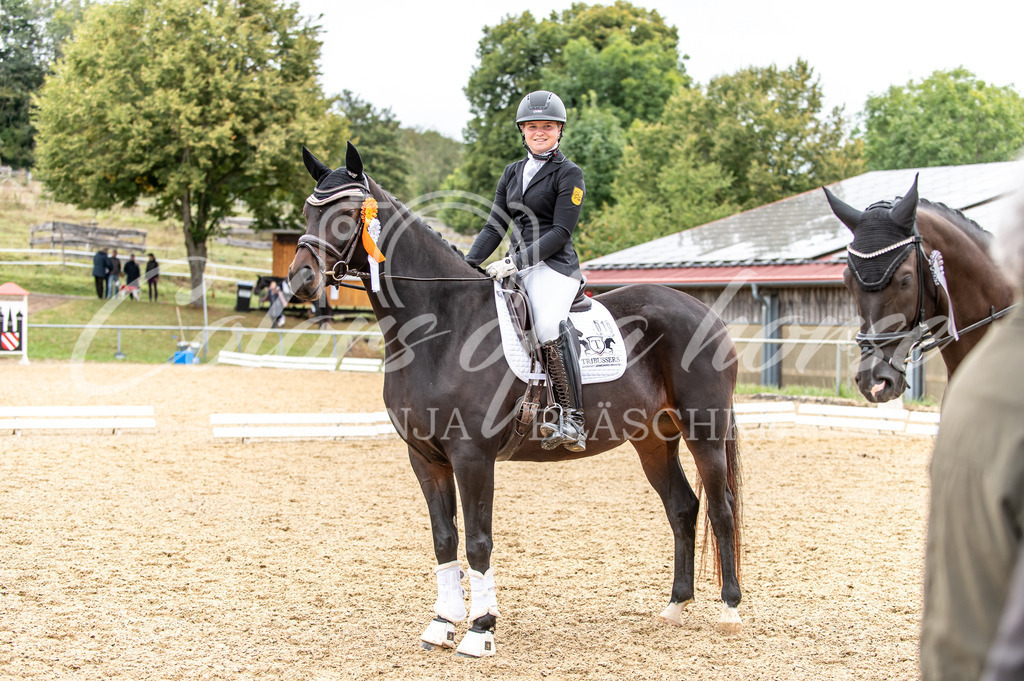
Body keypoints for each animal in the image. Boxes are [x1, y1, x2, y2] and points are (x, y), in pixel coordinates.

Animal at [288, 142, 745, 655]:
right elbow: (444, 539)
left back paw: (729, 610)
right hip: (652, 438)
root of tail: (703, 311)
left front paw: (480, 628)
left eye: (348, 214)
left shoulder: (472, 455)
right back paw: (675, 607)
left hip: (705, 430)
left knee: (721, 506)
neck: (441, 327)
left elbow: (478, 540)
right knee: (683, 507)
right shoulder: (424, 456)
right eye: (308, 210)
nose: (301, 279)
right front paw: (442, 623)